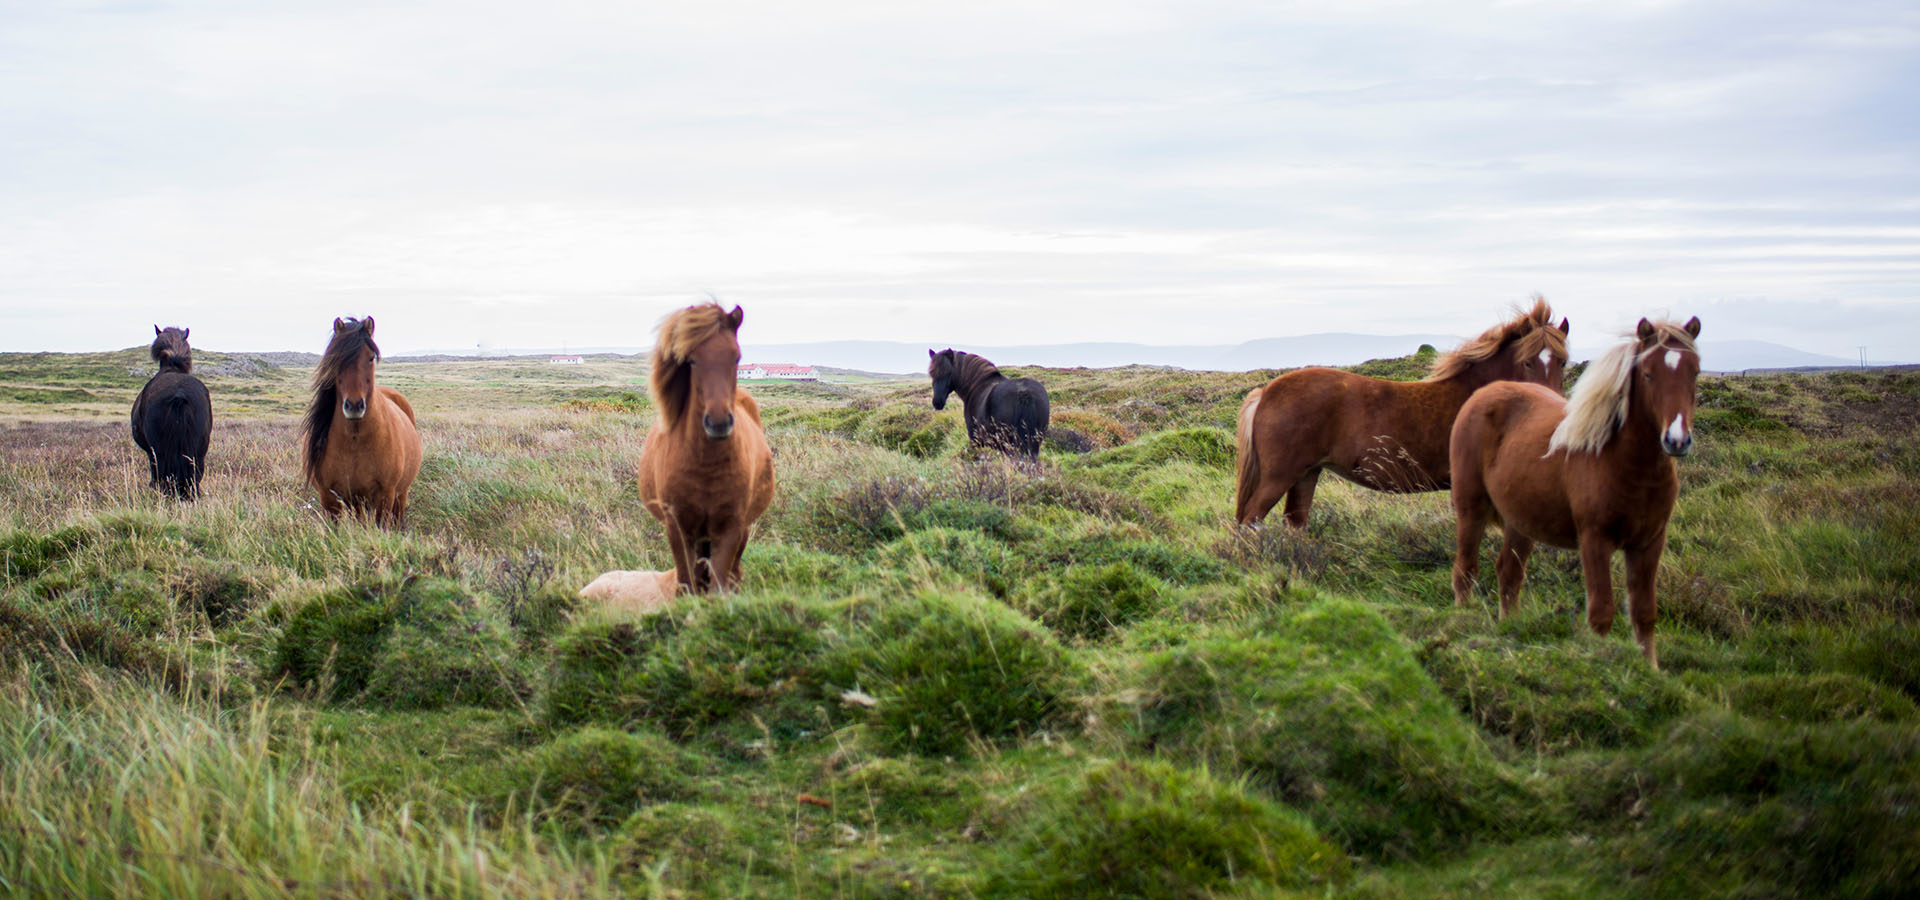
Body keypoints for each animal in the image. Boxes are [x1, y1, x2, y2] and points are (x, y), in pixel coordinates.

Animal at [130, 326, 211, 502]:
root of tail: (179, 393)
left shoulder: (150, 452)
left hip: (159, 452)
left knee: (162, 477)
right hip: (199, 450)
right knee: (195, 476)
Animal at [299, 316, 424, 525]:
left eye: (370, 358)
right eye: (336, 359)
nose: (354, 406)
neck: (354, 441)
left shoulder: (385, 496)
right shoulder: (329, 499)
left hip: (400, 495)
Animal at [637, 305, 771, 591]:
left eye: (736, 357)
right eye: (692, 360)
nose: (718, 422)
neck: (705, 466)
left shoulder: (731, 529)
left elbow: (718, 588)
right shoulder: (678, 529)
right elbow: (687, 584)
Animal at [1236, 295, 1566, 525]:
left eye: (1562, 361)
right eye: (1527, 362)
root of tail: (1265, 393)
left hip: (1307, 473)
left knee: (1295, 521)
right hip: (1280, 476)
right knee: (1251, 520)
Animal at [1443, 316, 1704, 667]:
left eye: (1695, 372)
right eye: (1649, 374)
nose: (1677, 440)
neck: (1625, 464)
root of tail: (1483, 394)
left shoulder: (1649, 543)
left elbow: (1644, 612)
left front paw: (1649, 669)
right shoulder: (1595, 540)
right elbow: (1601, 612)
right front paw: (1599, 662)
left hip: (1521, 523)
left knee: (1509, 574)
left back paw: (1509, 629)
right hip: (1471, 508)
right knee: (1465, 570)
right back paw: (1462, 620)